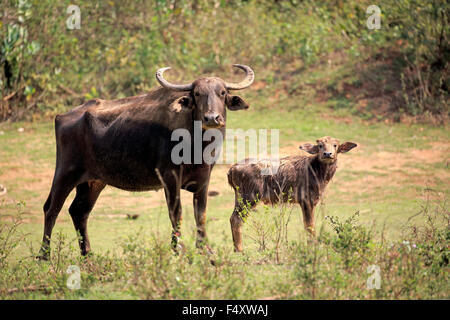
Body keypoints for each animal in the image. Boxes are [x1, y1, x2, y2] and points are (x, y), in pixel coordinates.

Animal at [37, 64, 255, 260]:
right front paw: (178, 249)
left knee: (79, 211)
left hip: (94, 182)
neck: (196, 144)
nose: (212, 118)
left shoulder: (204, 178)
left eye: (222, 92)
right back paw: (44, 255)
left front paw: (205, 249)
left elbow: (200, 214)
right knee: (51, 208)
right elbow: (176, 213)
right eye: (197, 93)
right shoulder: (169, 177)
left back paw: (87, 254)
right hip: (65, 173)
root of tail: (63, 117)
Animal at [227, 136, 356, 251]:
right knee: (236, 219)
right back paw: (239, 249)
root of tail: (232, 169)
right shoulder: (306, 200)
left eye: (335, 145)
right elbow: (310, 225)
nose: (327, 154)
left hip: (240, 197)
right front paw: (313, 246)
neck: (317, 172)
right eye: (320, 145)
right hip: (249, 197)